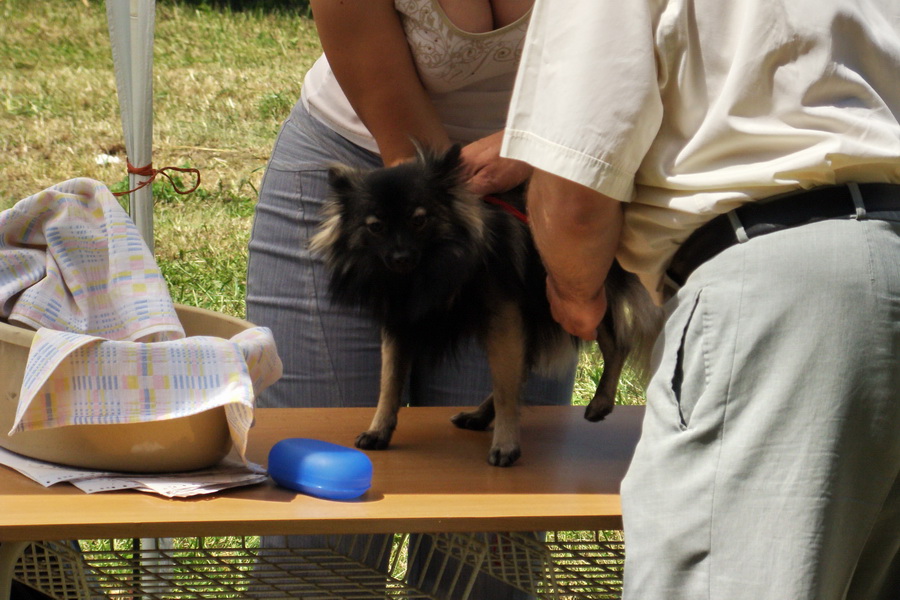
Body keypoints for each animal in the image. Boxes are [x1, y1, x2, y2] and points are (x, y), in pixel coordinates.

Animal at [310, 144, 660, 464]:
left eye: (419, 221)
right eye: (375, 226)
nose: (401, 257)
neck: (428, 271)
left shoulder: (503, 320)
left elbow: (505, 387)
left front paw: (506, 444)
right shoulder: (400, 325)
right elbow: (389, 383)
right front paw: (379, 429)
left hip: (579, 296)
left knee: (616, 344)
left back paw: (600, 401)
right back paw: (479, 416)